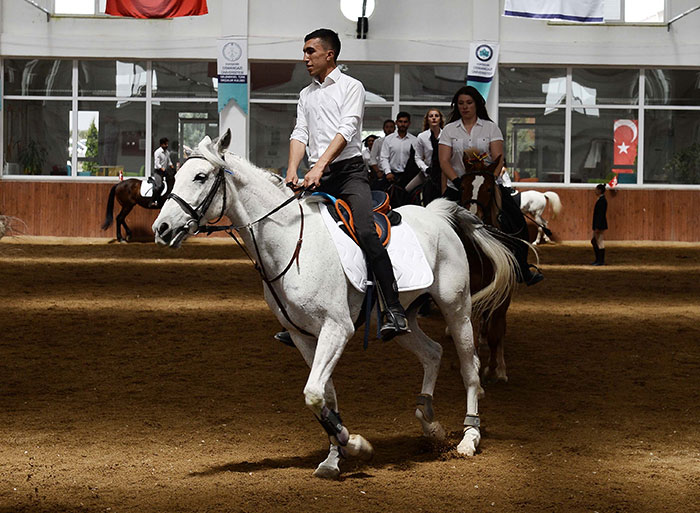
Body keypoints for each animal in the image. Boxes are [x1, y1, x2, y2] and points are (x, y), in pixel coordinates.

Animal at [152, 130, 516, 478]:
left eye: (200, 176)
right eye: (176, 176)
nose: (161, 228)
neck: (291, 243)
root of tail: (436, 214)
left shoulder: (336, 329)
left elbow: (313, 393)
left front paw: (353, 443)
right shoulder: (302, 336)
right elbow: (324, 396)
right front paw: (334, 456)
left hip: (457, 309)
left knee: (469, 367)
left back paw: (468, 438)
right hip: (405, 320)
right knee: (433, 353)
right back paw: (429, 422)